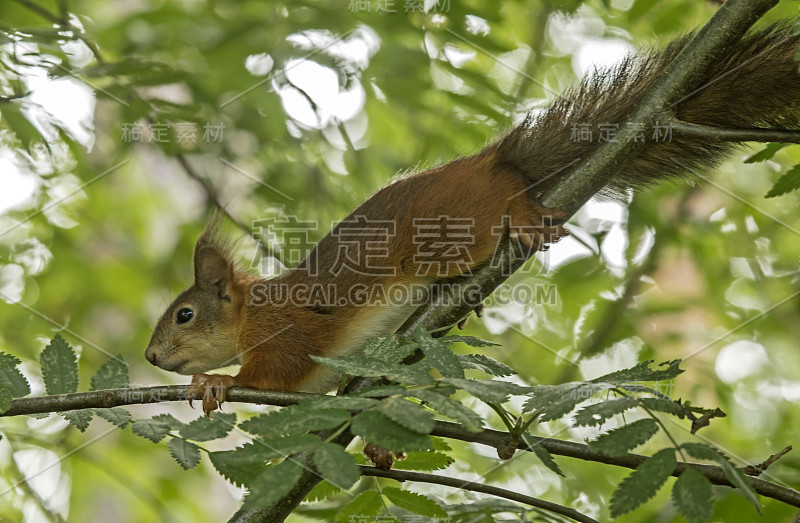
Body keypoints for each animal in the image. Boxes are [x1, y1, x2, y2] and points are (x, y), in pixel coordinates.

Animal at [145, 25, 800, 418]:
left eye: (184, 314)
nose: (151, 357)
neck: (249, 313)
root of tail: (488, 160)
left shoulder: (287, 329)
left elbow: (276, 371)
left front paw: (216, 382)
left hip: (456, 228)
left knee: (505, 195)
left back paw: (521, 212)